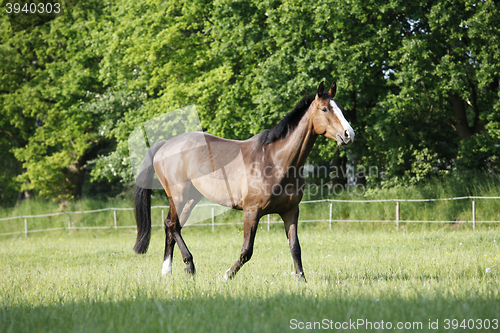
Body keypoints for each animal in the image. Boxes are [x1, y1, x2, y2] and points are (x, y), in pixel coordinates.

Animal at [131, 81, 354, 280]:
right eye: (324, 109)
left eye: (341, 109)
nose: (348, 134)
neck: (275, 160)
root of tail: (166, 145)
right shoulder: (251, 211)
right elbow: (247, 251)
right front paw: (227, 275)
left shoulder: (290, 211)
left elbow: (295, 247)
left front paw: (301, 280)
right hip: (178, 196)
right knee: (171, 225)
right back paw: (189, 265)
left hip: (191, 199)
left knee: (174, 227)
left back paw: (168, 271)